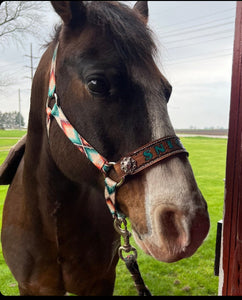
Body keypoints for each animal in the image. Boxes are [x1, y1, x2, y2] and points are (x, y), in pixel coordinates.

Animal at [0, 0, 209, 296]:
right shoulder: (31, 287)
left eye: (166, 91)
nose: (189, 222)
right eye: (97, 83)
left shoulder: (100, 282)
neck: (55, 221)